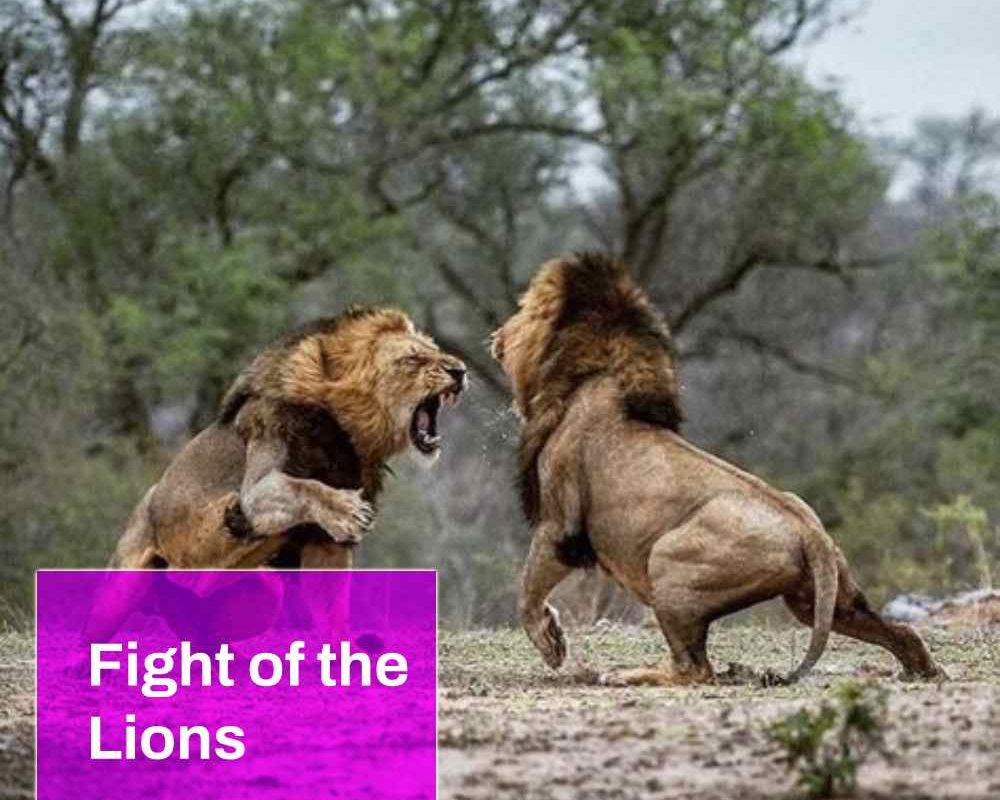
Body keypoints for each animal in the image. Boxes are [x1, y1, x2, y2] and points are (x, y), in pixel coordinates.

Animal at [490, 253, 942, 685]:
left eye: (523, 309)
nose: (495, 337)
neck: (592, 375)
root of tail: (810, 531)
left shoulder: (558, 525)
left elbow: (527, 591)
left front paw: (552, 645)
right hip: (820, 600)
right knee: (902, 632)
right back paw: (922, 671)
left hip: (667, 564)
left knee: (694, 668)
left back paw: (624, 675)